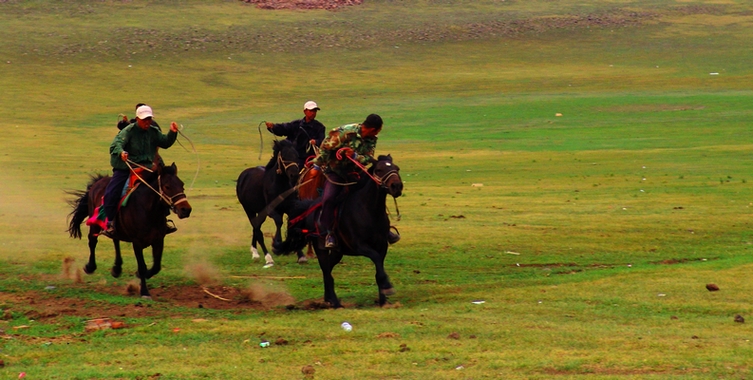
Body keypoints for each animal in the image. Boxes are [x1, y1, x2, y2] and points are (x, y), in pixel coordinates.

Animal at [67, 162, 192, 298]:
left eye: (182, 185)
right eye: (167, 186)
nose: (186, 210)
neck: (148, 210)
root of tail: (98, 182)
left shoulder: (159, 240)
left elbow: (156, 266)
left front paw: (145, 276)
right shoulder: (137, 243)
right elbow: (142, 267)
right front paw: (144, 292)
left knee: (115, 240)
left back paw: (117, 268)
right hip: (94, 222)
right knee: (92, 241)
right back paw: (90, 267)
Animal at [235, 138, 306, 266]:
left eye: (297, 155)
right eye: (284, 155)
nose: (294, 175)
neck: (279, 184)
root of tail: (244, 175)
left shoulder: (288, 207)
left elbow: (293, 223)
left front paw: (301, 255)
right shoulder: (271, 209)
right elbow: (278, 221)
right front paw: (277, 244)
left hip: (259, 211)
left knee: (256, 227)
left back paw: (255, 252)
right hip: (249, 209)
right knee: (258, 230)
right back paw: (267, 258)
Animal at [274, 154, 402, 306]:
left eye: (397, 168)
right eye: (379, 170)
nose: (397, 186)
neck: (369, 211)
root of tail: (310, 207)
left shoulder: (382, 246)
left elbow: (379, 267)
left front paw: (383, 300)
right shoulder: (360, 246)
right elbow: (375, 259)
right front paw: (387, 288)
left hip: (337, 252)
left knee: (328, 270)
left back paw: (328, 298)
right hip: (321, 249)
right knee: (326, 271)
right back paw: (335, 302)